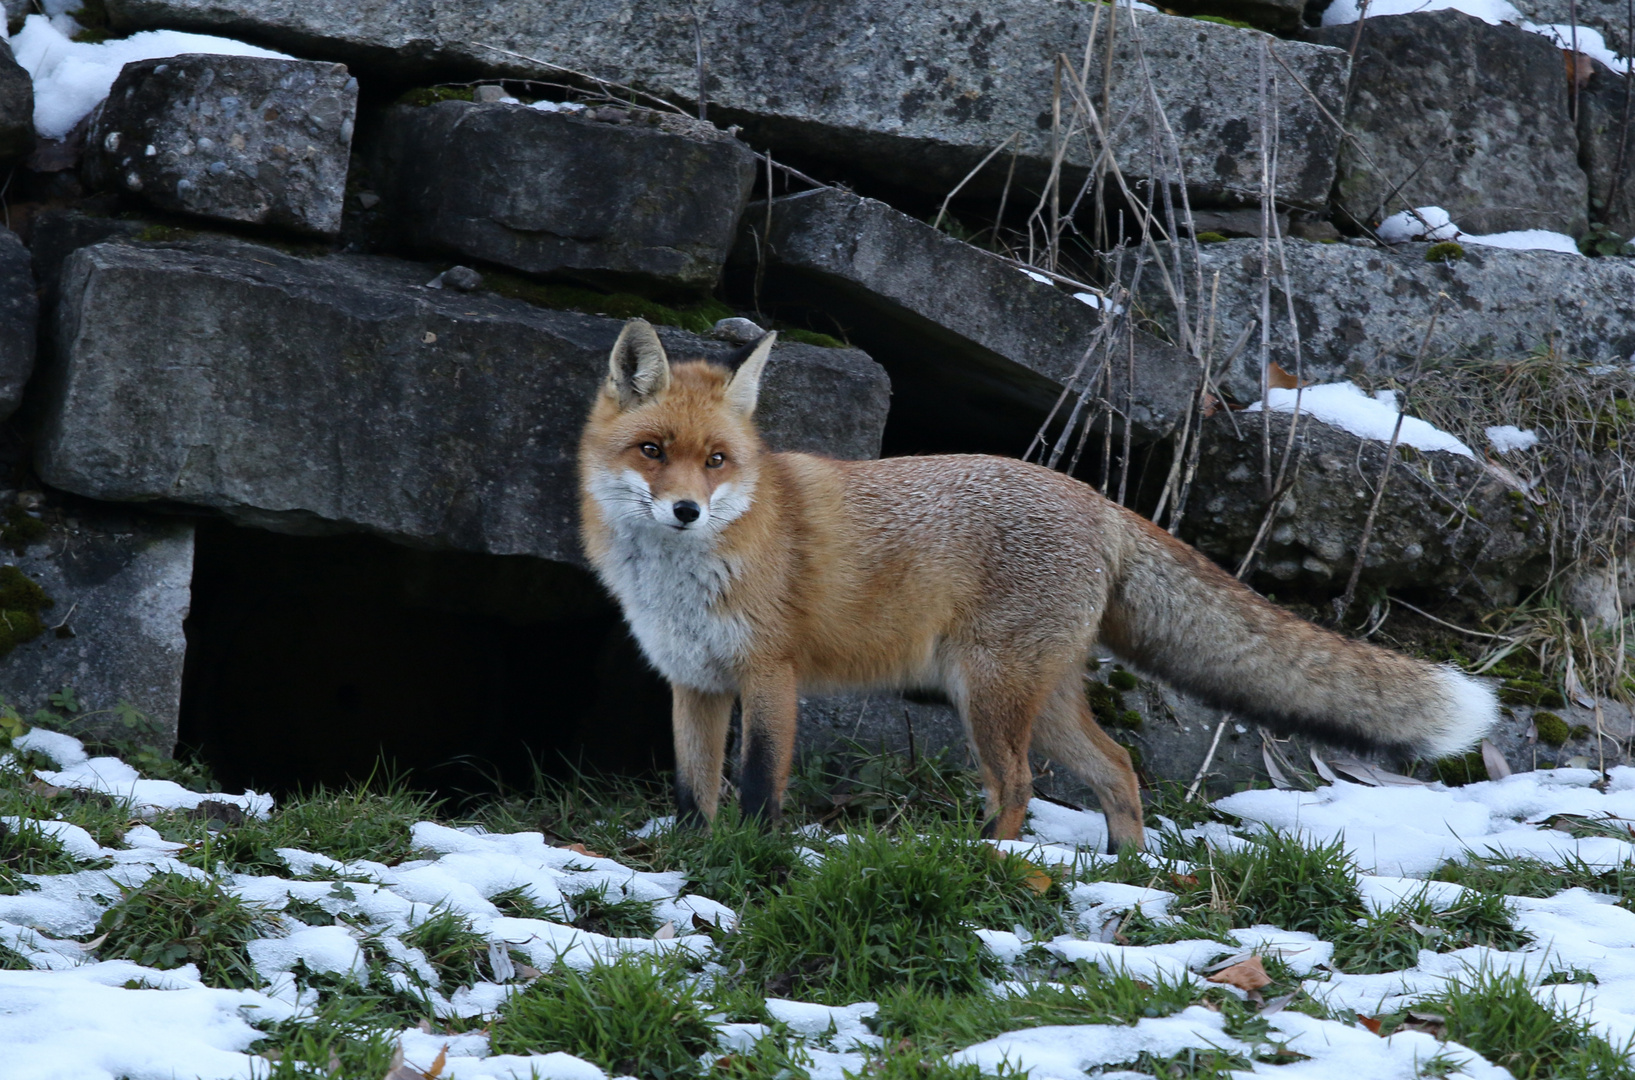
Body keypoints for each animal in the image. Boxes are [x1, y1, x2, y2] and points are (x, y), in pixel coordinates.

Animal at [582, 315, 1497, 849]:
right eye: (652, 451)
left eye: (717, 460)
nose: (687, 511)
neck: (679, 581)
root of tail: (1099, 501)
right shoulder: (694, 682)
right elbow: (692, 788)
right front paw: (693, 859)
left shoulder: (770, 675)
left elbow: (758, 785)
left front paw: (752, 862)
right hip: (1038, 696)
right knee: (1118, 768)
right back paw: (1127, 871)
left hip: (986, 695)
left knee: (1019, 785)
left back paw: (989, 859)